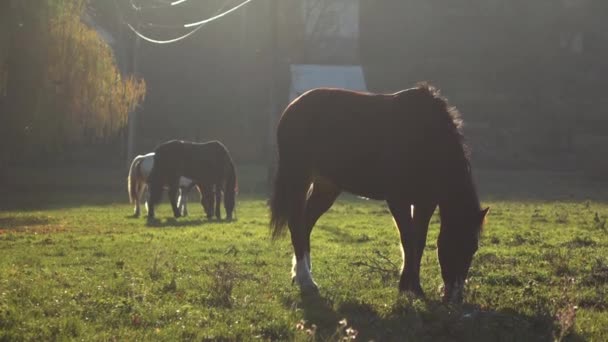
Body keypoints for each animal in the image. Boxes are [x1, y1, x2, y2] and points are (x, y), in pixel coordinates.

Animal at [270, 83, 490, 304]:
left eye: (473, 247)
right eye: (456, 242)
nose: (455, 296)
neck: (424, 137)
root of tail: (293, 106)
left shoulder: (425, 202)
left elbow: (418, 240)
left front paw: (413, 287)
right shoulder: (398, 200)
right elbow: (408, 240)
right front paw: (408, 287)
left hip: (326, 187)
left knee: (305, 223)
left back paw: (300, 275)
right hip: (299, 178)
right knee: (296, 224)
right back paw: (307, 281)